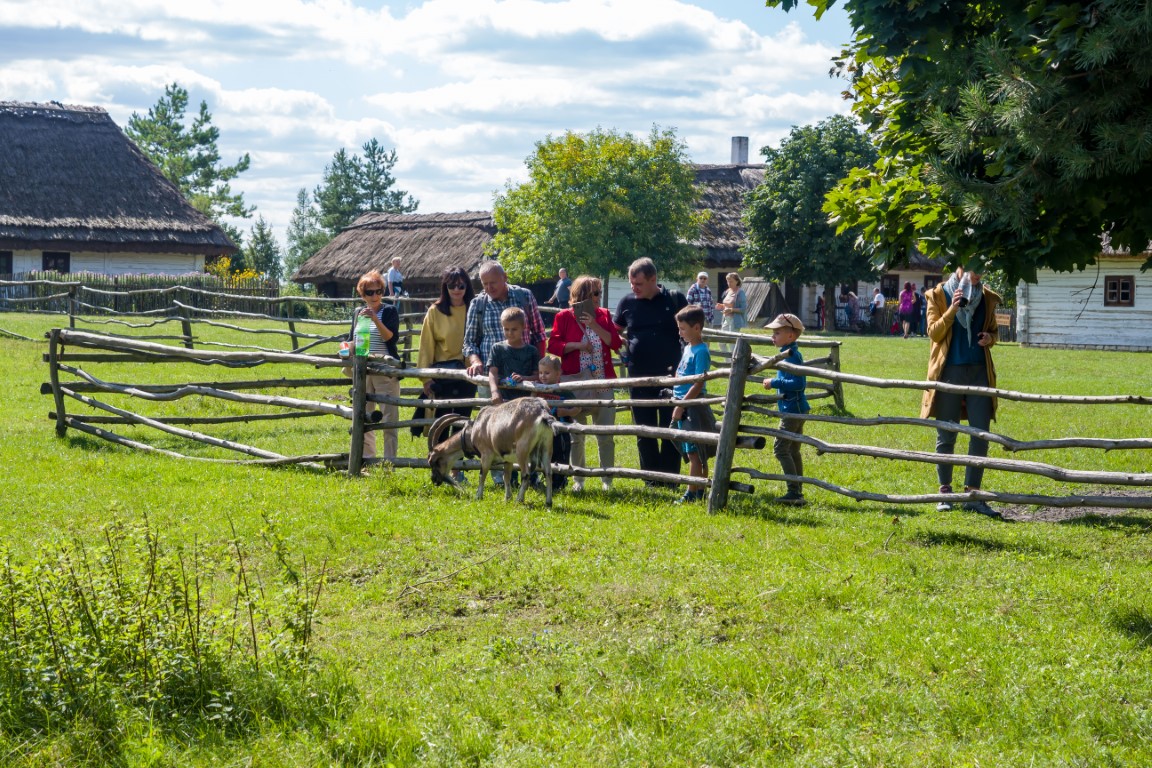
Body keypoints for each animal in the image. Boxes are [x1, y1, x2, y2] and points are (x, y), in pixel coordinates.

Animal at [430, 396, 559, 511]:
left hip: (522, 450)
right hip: (547, 447)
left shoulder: (486, 454)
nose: (434, 480)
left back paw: (519, 500)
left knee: (526, 474)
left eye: (434, 461)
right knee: (548, 473)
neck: (474, 430)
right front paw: (507, 498)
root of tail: (542, 412)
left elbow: (482, 474)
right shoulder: (507, 459)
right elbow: (506, 477)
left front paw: (478, 496)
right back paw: (548, 503)